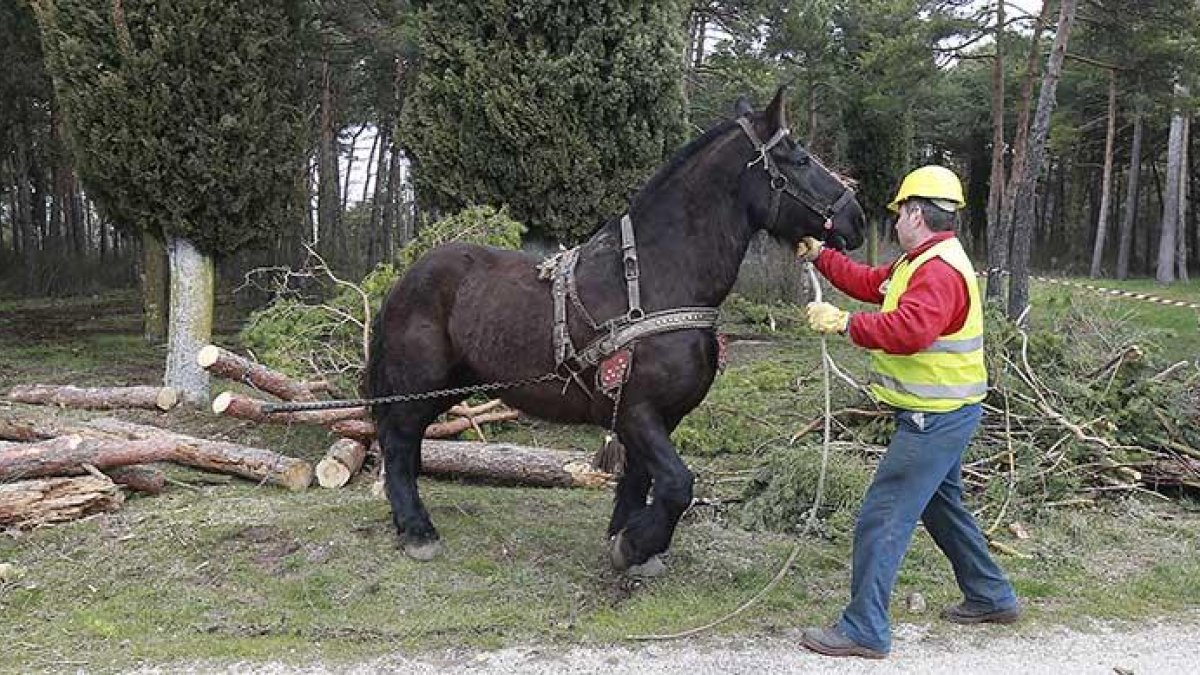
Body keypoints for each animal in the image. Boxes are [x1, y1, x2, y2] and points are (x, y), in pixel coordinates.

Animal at [366, 88, 866, 571]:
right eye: (799, 159)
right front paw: (635, 545)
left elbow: (640, 480)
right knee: (398, 441)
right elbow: (678, 483)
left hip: (450, 387)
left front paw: (628, 540)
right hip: (421, 386)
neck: (656, 282)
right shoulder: (636, 410)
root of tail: (405, 277)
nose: (856, 218)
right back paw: (418, 531)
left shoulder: (663, 414)